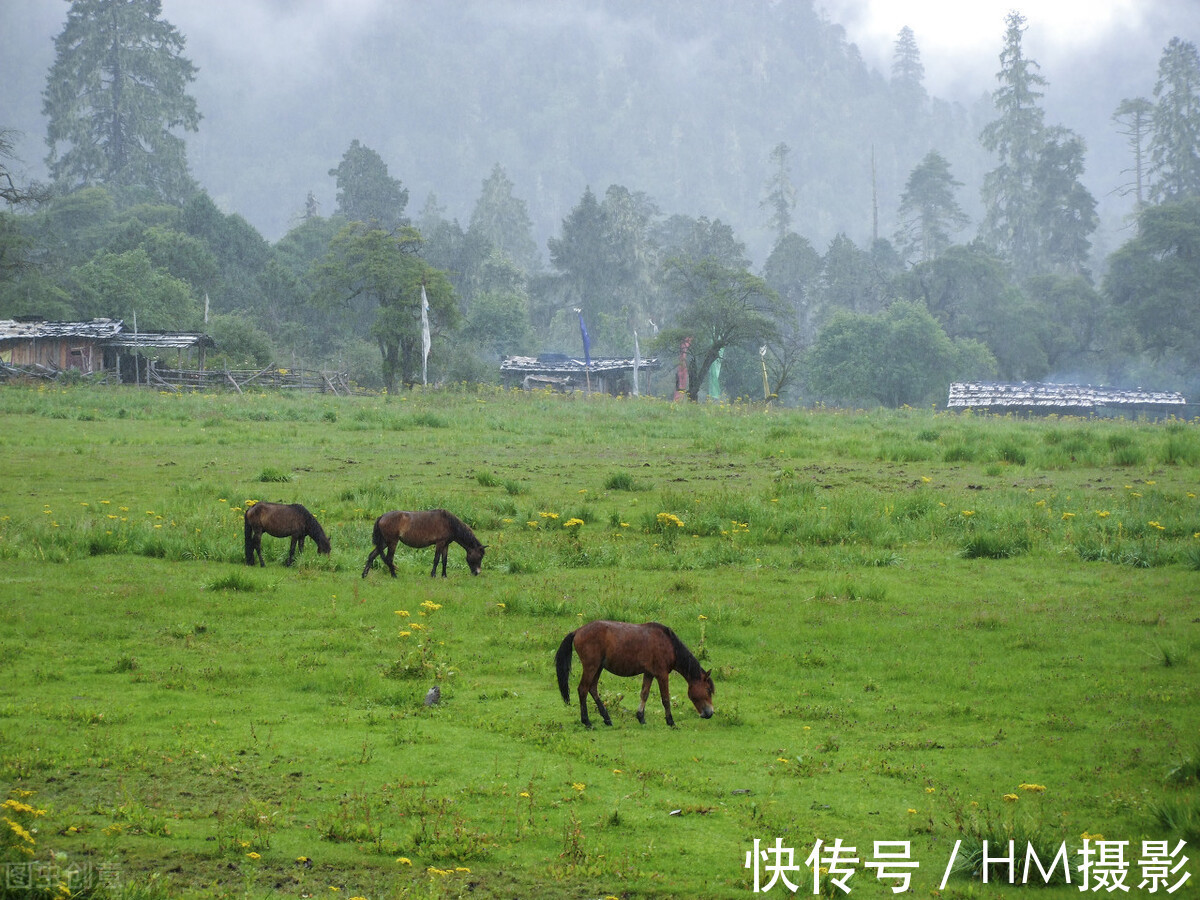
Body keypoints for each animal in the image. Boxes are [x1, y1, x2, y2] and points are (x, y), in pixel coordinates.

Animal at [559, 624, 715, 729]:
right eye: (708, 690)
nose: (710, 713)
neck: (669, 644)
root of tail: (578, 631)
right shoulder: (662, 675)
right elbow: (665, 699)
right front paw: (670, 722)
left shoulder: (649, 673)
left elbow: (644, 694)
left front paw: (641, 718)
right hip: (591, 667)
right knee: (583, 689)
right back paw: (587, 721)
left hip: (598, 668)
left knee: (592, 689)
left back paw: (607, 719)